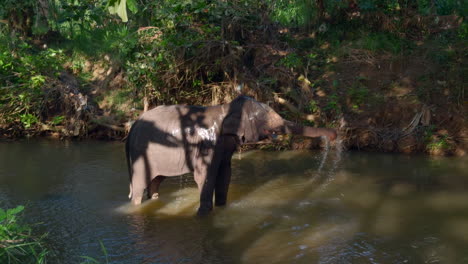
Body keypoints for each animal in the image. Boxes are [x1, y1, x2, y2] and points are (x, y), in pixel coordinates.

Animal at [125, 96, 336, 216]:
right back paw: (136, 208)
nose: (334, 135)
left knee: (156, 181)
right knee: (139, 185)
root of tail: (132, 127)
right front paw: (203, 214)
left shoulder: (224, 144)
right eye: (263, 118)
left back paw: (155, 201)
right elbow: (205, 175)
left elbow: (225, 172)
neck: (224, 108)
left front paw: (221, 208)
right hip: (140, 152)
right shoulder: (208, 143)